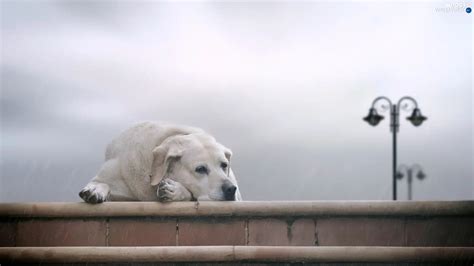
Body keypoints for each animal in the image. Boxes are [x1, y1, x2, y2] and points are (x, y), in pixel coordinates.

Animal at [78, 121, 241, 203]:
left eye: (224, 165)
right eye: (200, 169)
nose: (230, 189)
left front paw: (174, 190)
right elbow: (101, 182)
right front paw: (95, 189)